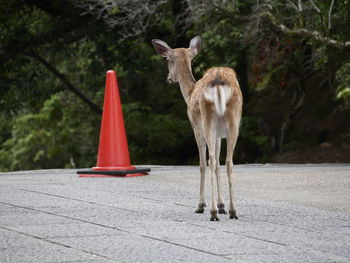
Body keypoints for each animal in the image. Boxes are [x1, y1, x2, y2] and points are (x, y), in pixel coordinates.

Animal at [152, 36, 242, 222]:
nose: (168, 78)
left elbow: (202, 164)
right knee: (228, 161)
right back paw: (233, 210)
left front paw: (202, 205)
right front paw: (222, 205)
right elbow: (218, 165)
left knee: (210, 161)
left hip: (207, 121)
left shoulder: (196, 127)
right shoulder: (219, 135)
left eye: (167, 60)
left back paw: (212, 212)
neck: (190, 92)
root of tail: (218, 79)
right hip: (233, 121)